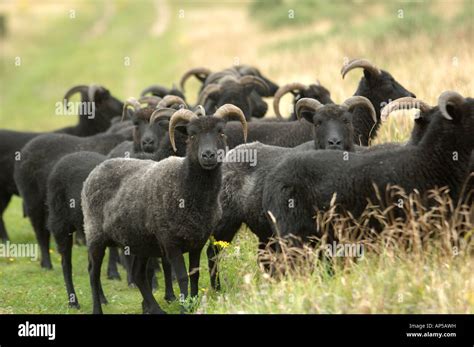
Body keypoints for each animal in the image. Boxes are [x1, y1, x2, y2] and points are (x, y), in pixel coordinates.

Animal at [81, 104, 246, 314]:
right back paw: (97, 308)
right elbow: (182, 277)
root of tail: (98, 168)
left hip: (140, 242)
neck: (184, 184)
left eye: (221, 132)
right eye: (192, 135)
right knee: (93, 272)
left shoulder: (197, 241)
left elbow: (194, 274)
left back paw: (156, 309)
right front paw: (184, 308)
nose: (208, 155)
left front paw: (194, 304)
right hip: (95, 235)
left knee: (138, 275)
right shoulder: (170, 242)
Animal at [206, 96, 374, 290]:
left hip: (265, 232)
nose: (334, 143)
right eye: (318, 122)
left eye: (346, 120)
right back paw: (217, 288)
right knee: (213, 252)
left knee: (264, 259)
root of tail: (234, 153)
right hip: (226, 221)